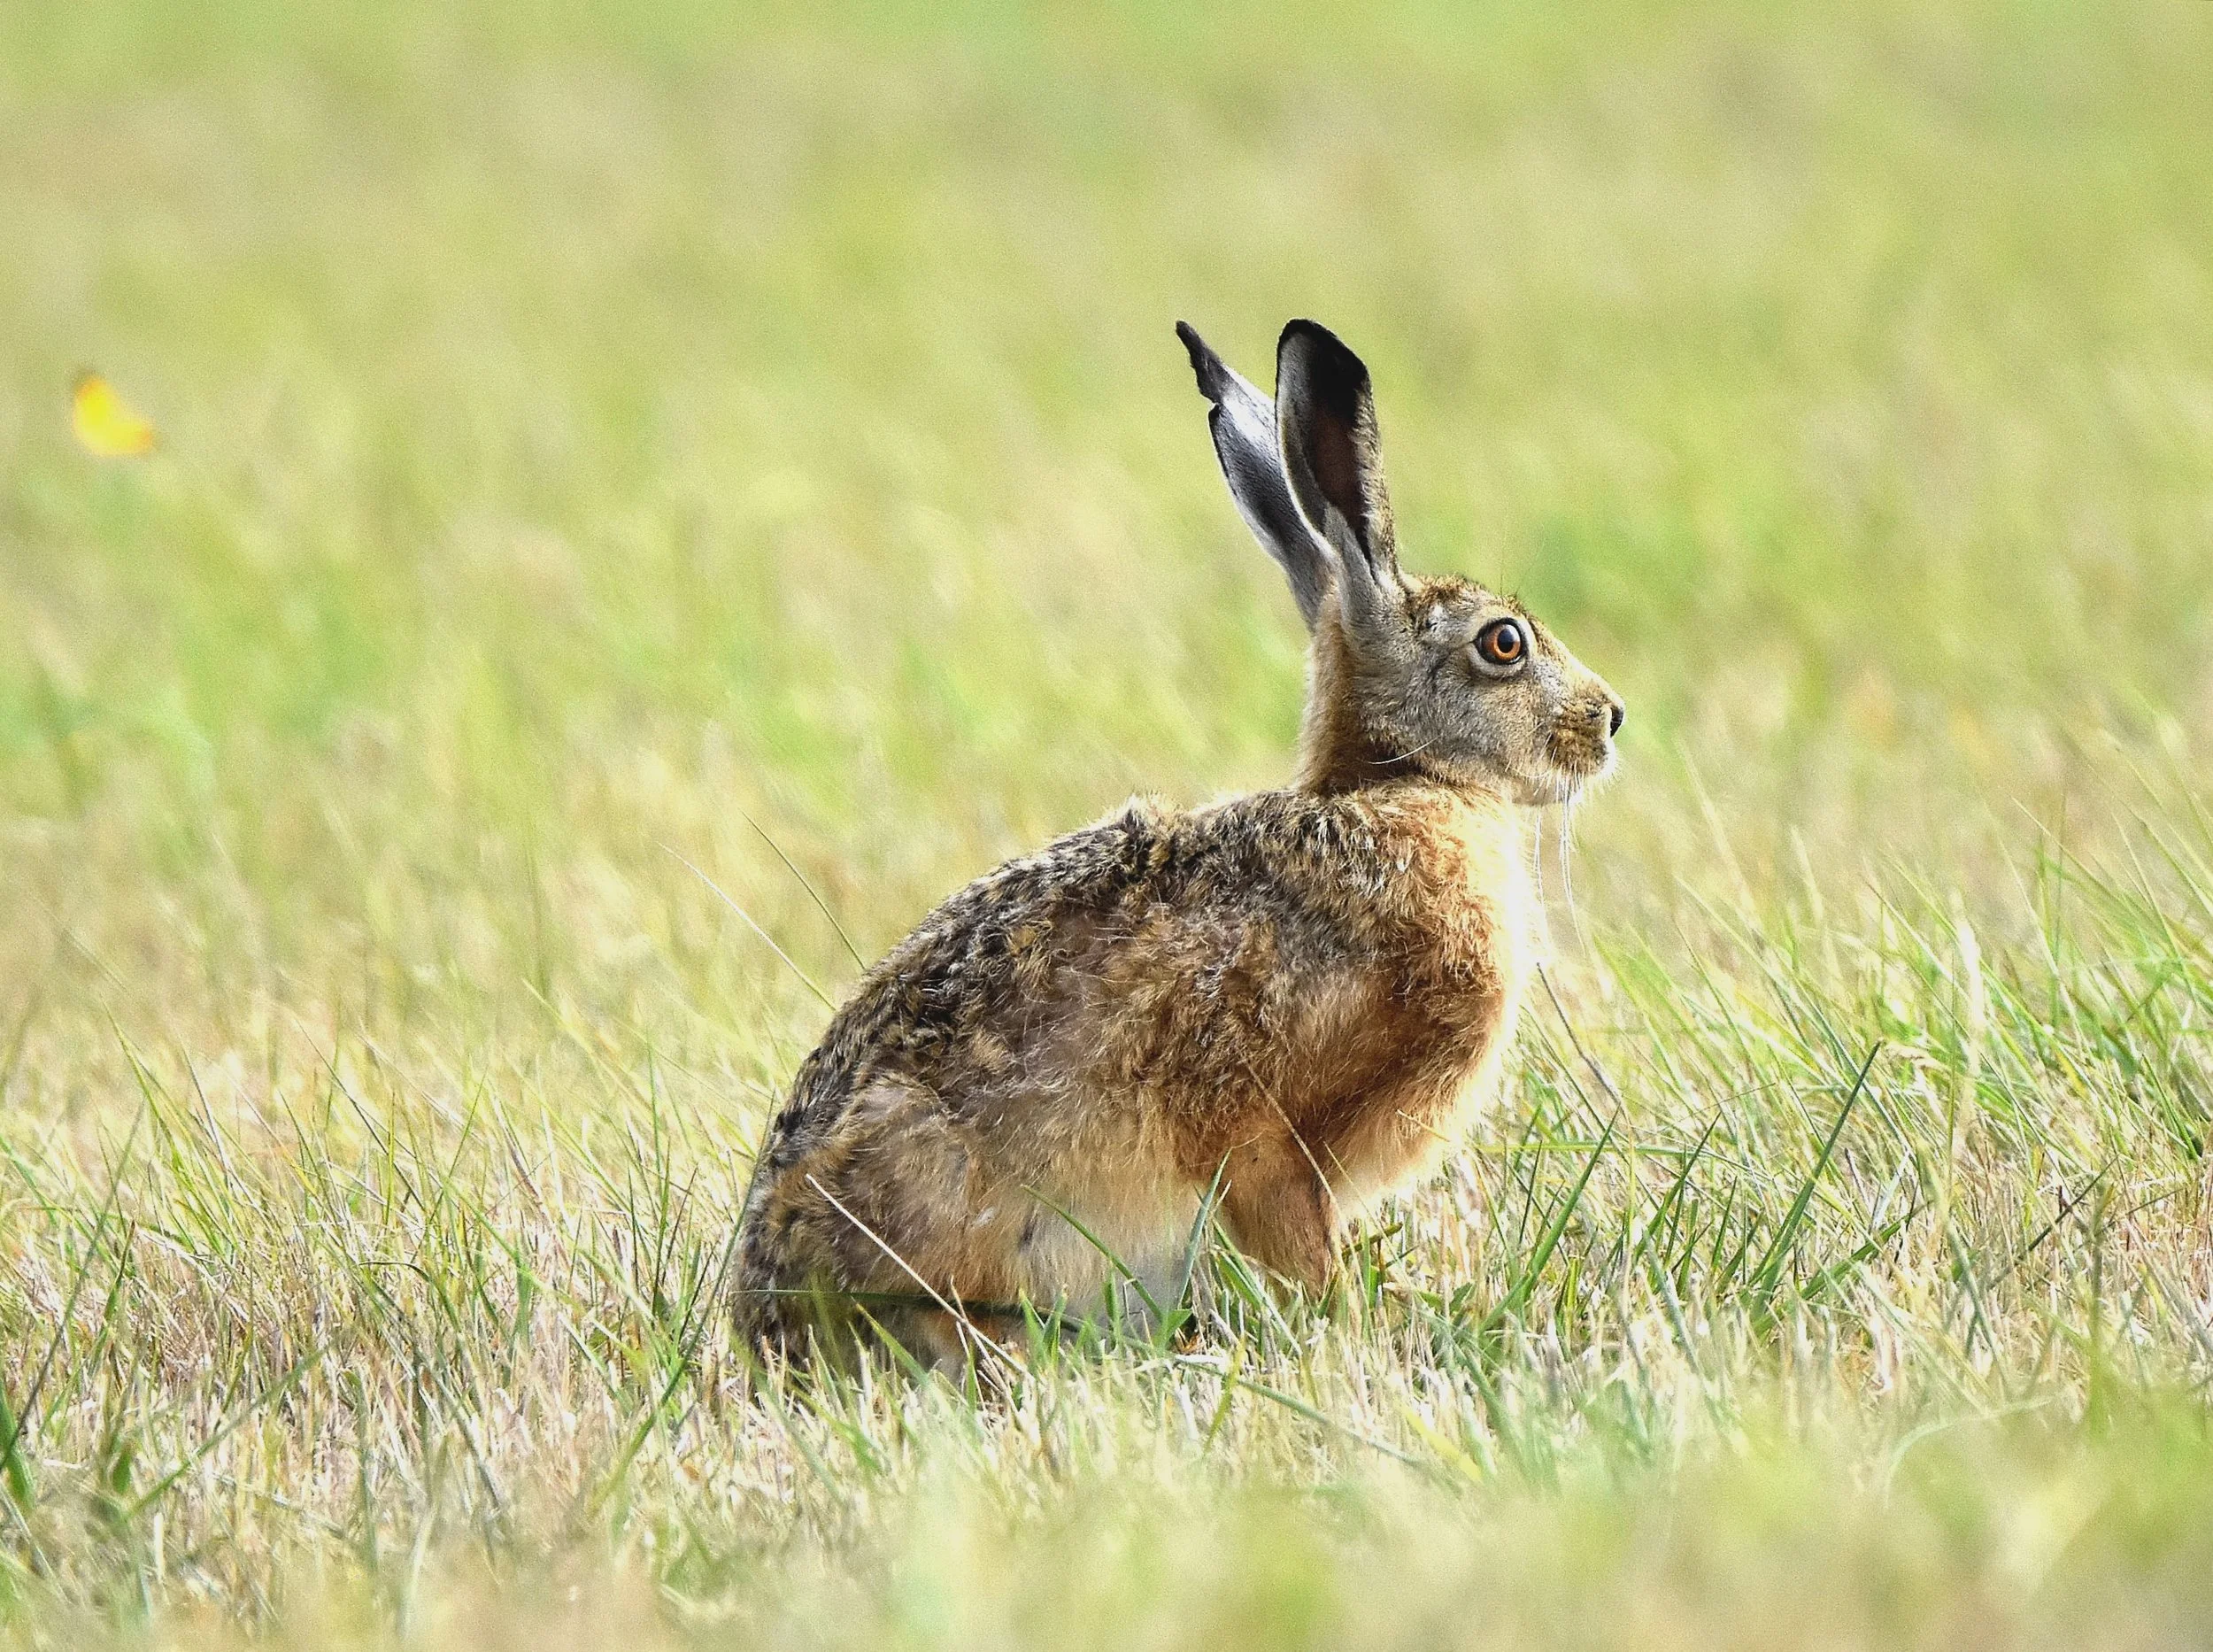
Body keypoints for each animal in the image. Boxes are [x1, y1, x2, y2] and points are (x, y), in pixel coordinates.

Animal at [732, 319, 1623, 1367]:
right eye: (1503, 644)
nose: (1610, 719)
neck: (1399, 786)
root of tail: (767, 1315)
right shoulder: (1268, 1139)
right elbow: (1296, 1240)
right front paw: (1353, 1330)